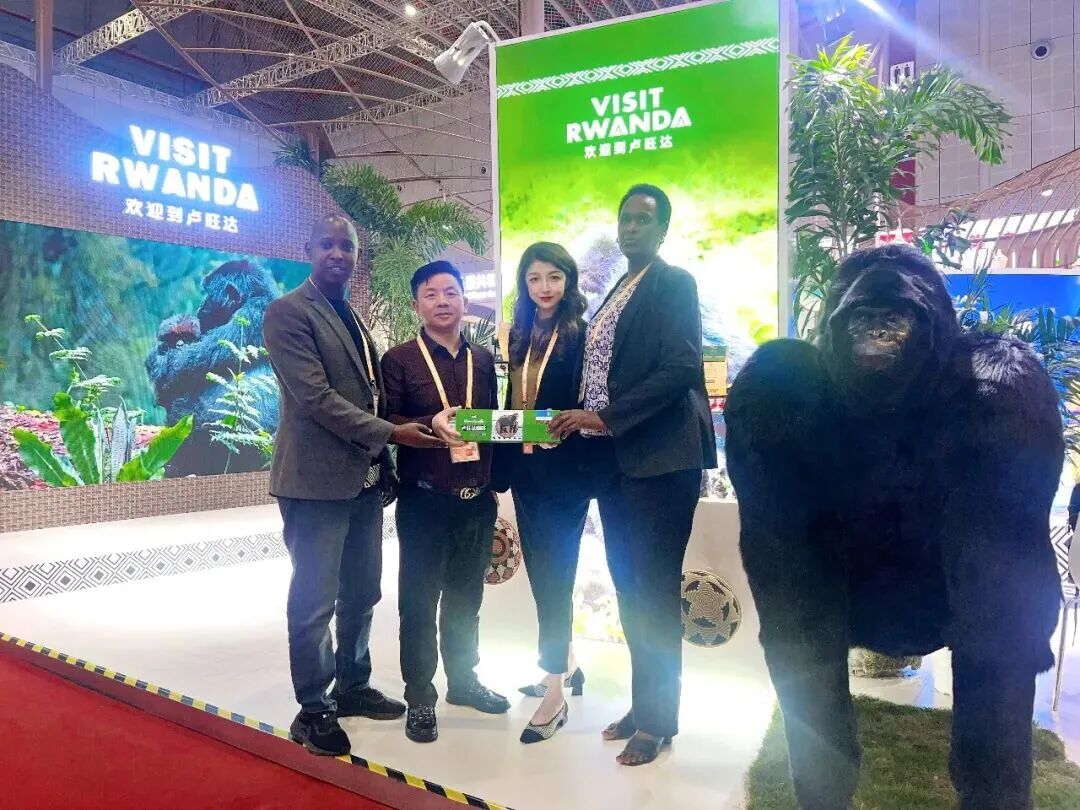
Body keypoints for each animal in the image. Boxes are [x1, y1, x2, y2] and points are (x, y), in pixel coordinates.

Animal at [724, 245, 1063, 810]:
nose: (879, 331)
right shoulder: (772, 386)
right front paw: (826, 777)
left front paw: (991, 781)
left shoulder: (1010, 387)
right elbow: (801, 619)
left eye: (899, 313)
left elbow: (998, 625)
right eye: (864, 312)